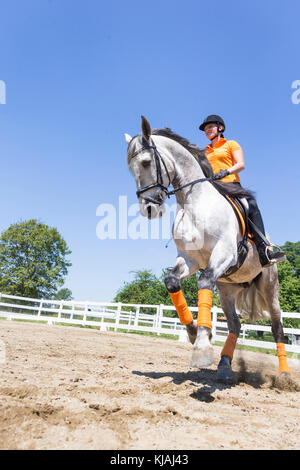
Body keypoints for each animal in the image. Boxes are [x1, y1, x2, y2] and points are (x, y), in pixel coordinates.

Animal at [125, 115, 290, 380]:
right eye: (131, 168)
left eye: (146, 162)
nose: (148, 209)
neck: (194, 202)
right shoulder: (190, 259)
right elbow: (172, 281)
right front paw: (193, 333)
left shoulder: (224, 253)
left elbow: (203, 283)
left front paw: (201, 346)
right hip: (226, 288)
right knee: (234, 324)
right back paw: (223, 365)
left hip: (269, 286)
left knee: (277, 327)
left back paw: (283, 374)